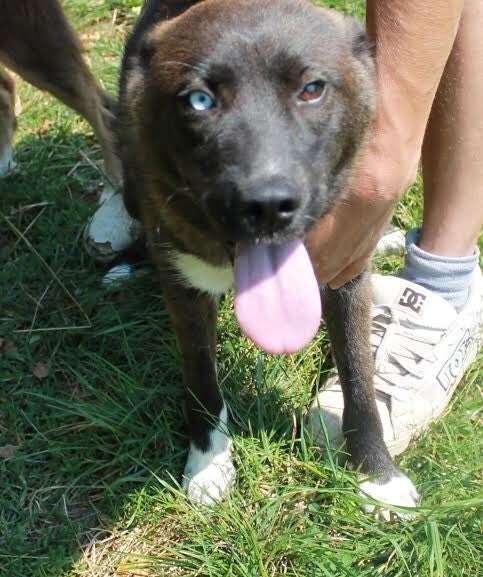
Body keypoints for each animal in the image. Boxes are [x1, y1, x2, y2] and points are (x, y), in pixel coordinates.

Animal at [117, 0, 420, 513]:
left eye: (312, 89)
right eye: (198, 100)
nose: (267, 205)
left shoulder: (347, 273)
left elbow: (360, 377)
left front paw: (378, 475)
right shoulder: (186, 293)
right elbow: (201, 381)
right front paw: (209, 465)